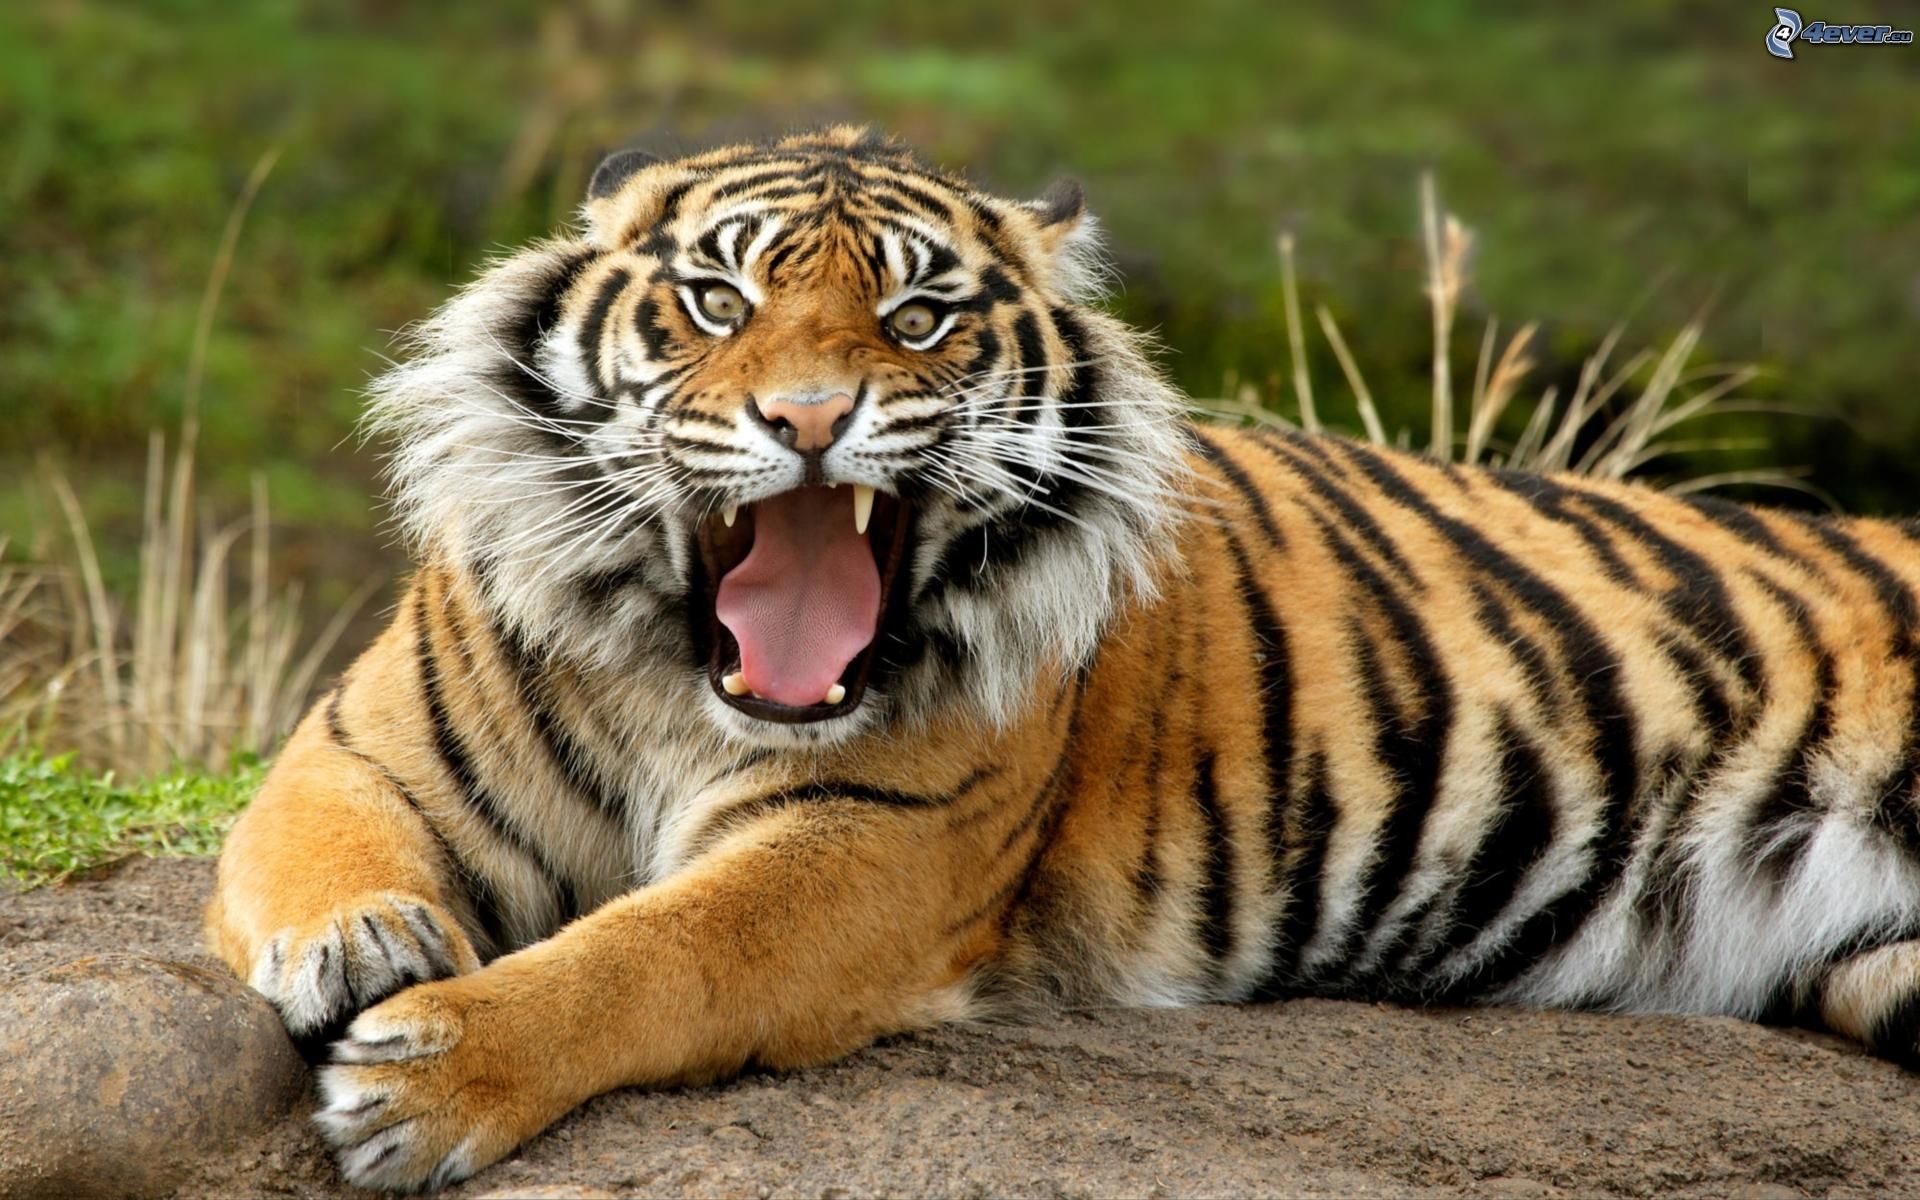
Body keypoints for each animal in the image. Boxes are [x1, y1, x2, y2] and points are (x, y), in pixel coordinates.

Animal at [205, 126, 1920, 1192]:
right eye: (717, 299)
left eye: (918, 316)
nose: (811, 418)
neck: (672, 674)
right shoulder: (360, 746)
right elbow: (319, 850)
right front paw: (361, 946)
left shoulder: (865, 850)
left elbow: (650, 953)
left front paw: (426, 1077)